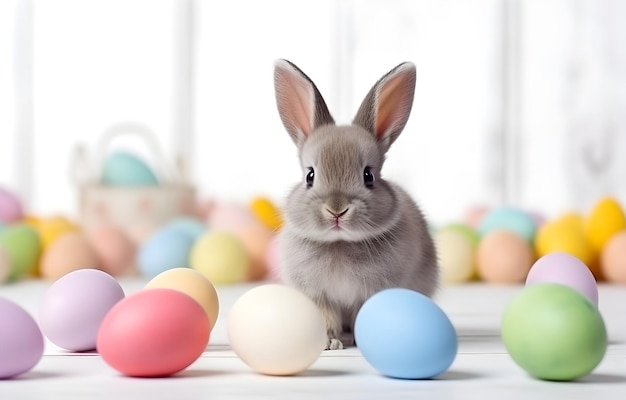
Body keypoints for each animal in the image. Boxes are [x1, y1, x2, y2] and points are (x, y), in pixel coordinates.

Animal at [270, 59, 436, 350]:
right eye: (310, 176)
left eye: (368, 176)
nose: (337, 210)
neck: (340, 242)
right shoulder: (318, 295)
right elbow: (326, 317)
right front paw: (330, 343)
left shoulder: (372, 291)